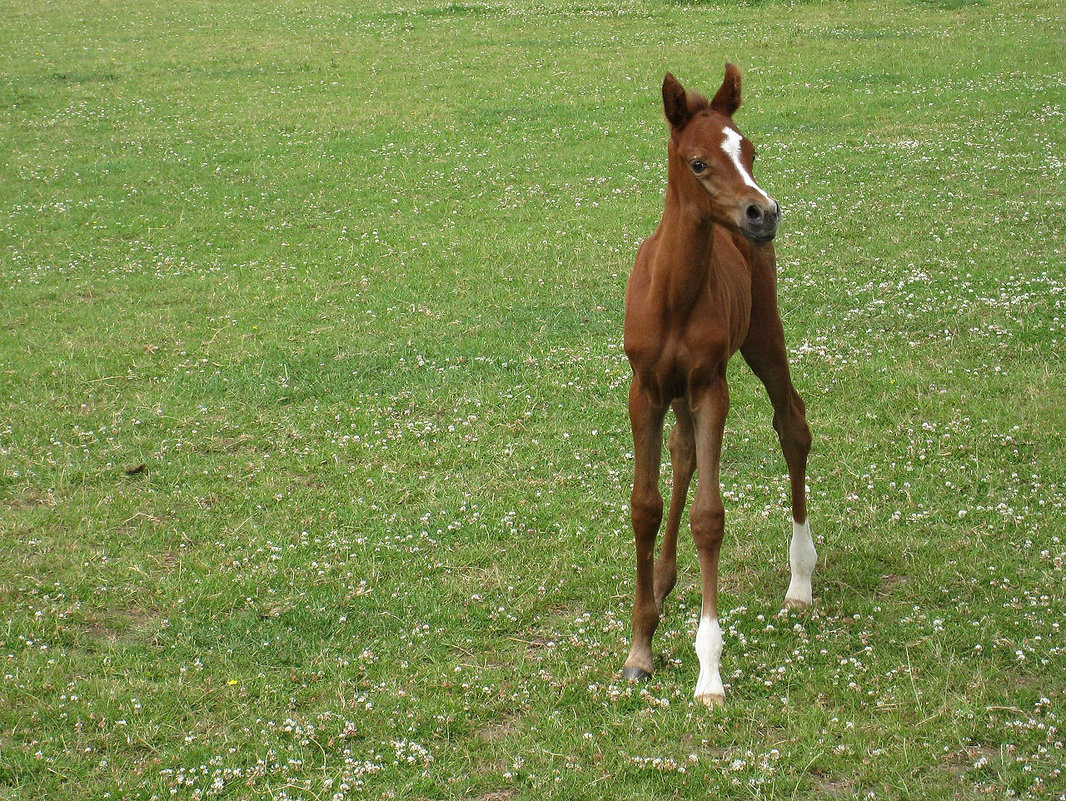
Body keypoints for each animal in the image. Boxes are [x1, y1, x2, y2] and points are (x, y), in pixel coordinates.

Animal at [618, 68, 814, 708]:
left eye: (749, 151)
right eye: (698, 162)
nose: (763, 213)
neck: (674, 293)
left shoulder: (711, 387)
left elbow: (709, 518)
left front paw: (709, 672)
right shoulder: (645, 390)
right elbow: (645, 507)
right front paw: (640, 648)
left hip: (763, 332)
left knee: (793, 424)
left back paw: (801, 580)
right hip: (679, 389)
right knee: (682, 454)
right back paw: (661, 583)